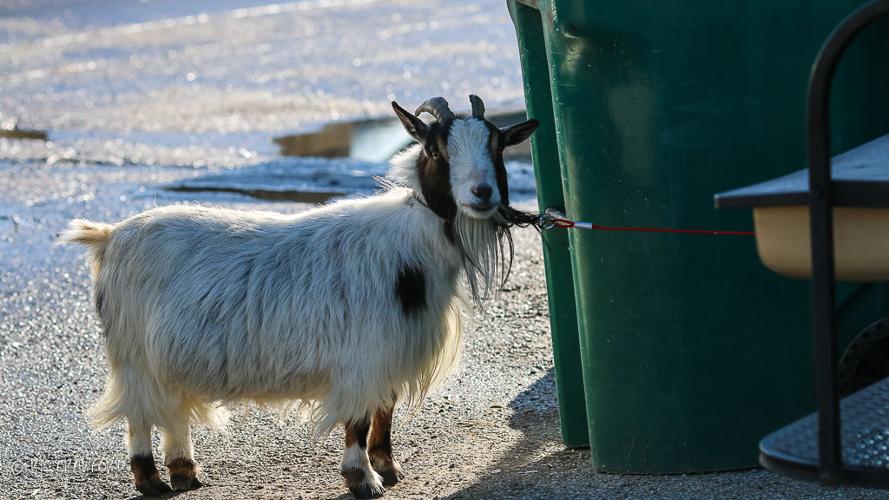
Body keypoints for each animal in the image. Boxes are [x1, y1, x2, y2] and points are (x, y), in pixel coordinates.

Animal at [59, 95, 538, 498]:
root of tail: (110, 236)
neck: (411, 248)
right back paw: (151, 480)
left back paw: (185, 472)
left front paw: (388, 467)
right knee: (140, 414)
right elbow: (359, 420)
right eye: (438, 151)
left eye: (497, 147)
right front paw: (363, 479)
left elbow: (384, 411)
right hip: (135, 354)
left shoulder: (391, 350)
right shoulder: (361, 356)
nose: (482, 193)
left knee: (172, 410)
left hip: (164, 358)